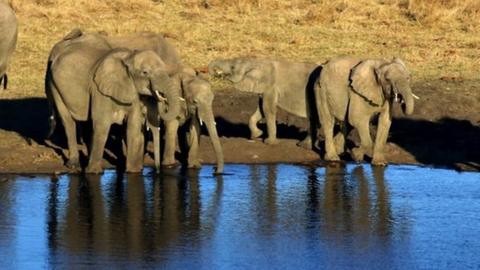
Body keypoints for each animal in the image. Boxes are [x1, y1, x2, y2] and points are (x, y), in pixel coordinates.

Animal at [45, 29, 180, 173]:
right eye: (145, 72)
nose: (158, 170)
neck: (128, 58)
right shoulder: (99, 89)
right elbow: (102, 124)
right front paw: (94, 172)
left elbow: (133, 127)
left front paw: (133, 172)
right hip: (55, 87)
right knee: (68, 122)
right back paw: (74, 165)